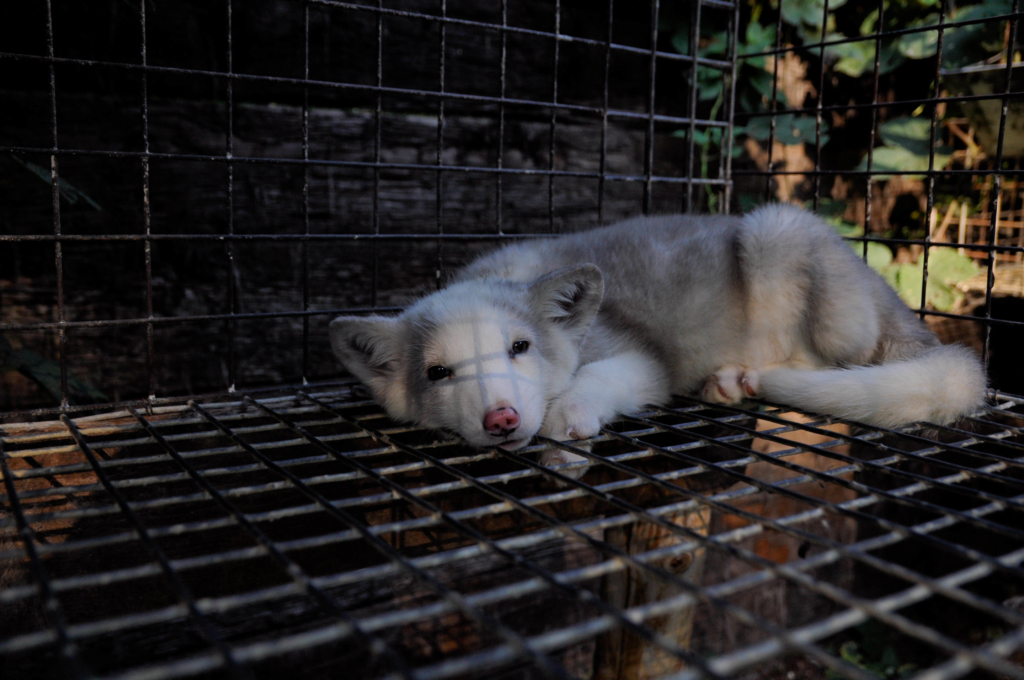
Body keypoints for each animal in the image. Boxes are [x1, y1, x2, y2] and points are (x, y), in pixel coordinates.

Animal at [331, 204, 987, 462]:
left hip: (778, 234)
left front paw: (569, 414)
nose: (502, 419)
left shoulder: (641, 358)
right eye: (438, 373)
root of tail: (896, 303)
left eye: (520, 348)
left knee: (838, 358)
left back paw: (744, 377)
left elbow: (607, 377)